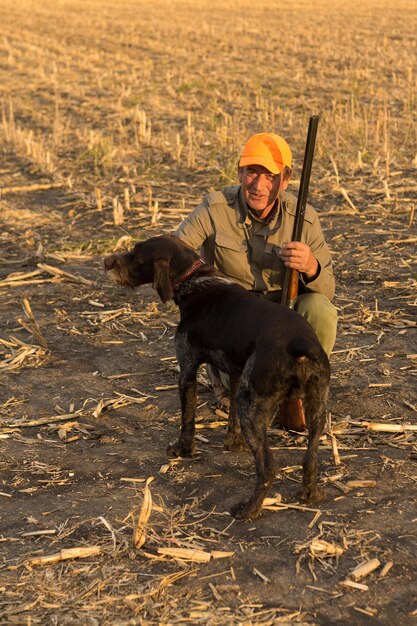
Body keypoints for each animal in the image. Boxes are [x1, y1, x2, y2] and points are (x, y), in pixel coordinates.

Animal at [104, 234, 328, 516]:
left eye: (135, 254)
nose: (107, 261)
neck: (194, 281)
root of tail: (301, 343)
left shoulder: (187, 368)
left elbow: (187, 419)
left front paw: (182, 449)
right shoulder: (235, 374)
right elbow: (231, 416)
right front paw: (233, 443)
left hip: (252, 404)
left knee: (268, 466)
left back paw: (249, 510)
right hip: (315, 406)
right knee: (311, 457)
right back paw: (311, 494)